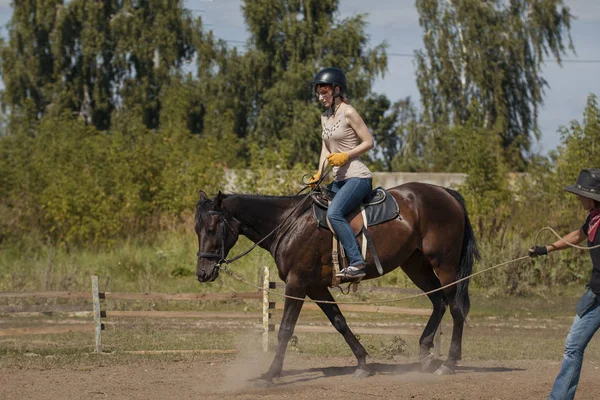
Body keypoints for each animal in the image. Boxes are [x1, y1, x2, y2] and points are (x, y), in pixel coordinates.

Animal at [196, 183, 478, 382]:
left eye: (211, 229)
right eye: (197, 230)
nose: (202, 273)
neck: (288, 223)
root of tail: (445, 193)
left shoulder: (298, 284)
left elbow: (285, 328)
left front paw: (272, 373)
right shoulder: (316, 287)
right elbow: (339, 322)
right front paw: (363, 363)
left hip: (444, 265)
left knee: (456, 308)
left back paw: (449, 363)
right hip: (415, 265)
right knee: (439, 302)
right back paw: (425, 353)